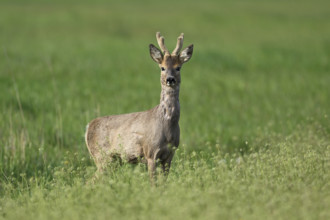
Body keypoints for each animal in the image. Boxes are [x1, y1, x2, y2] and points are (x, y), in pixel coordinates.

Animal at [85, 32, 193, 179]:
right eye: (162, 67)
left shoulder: (170, 154)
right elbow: (153, 181)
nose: (170, 79)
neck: (167, 126)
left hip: (114, 160)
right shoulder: (150, 152)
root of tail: (88, 127)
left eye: (178, 67)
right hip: (101, 156)